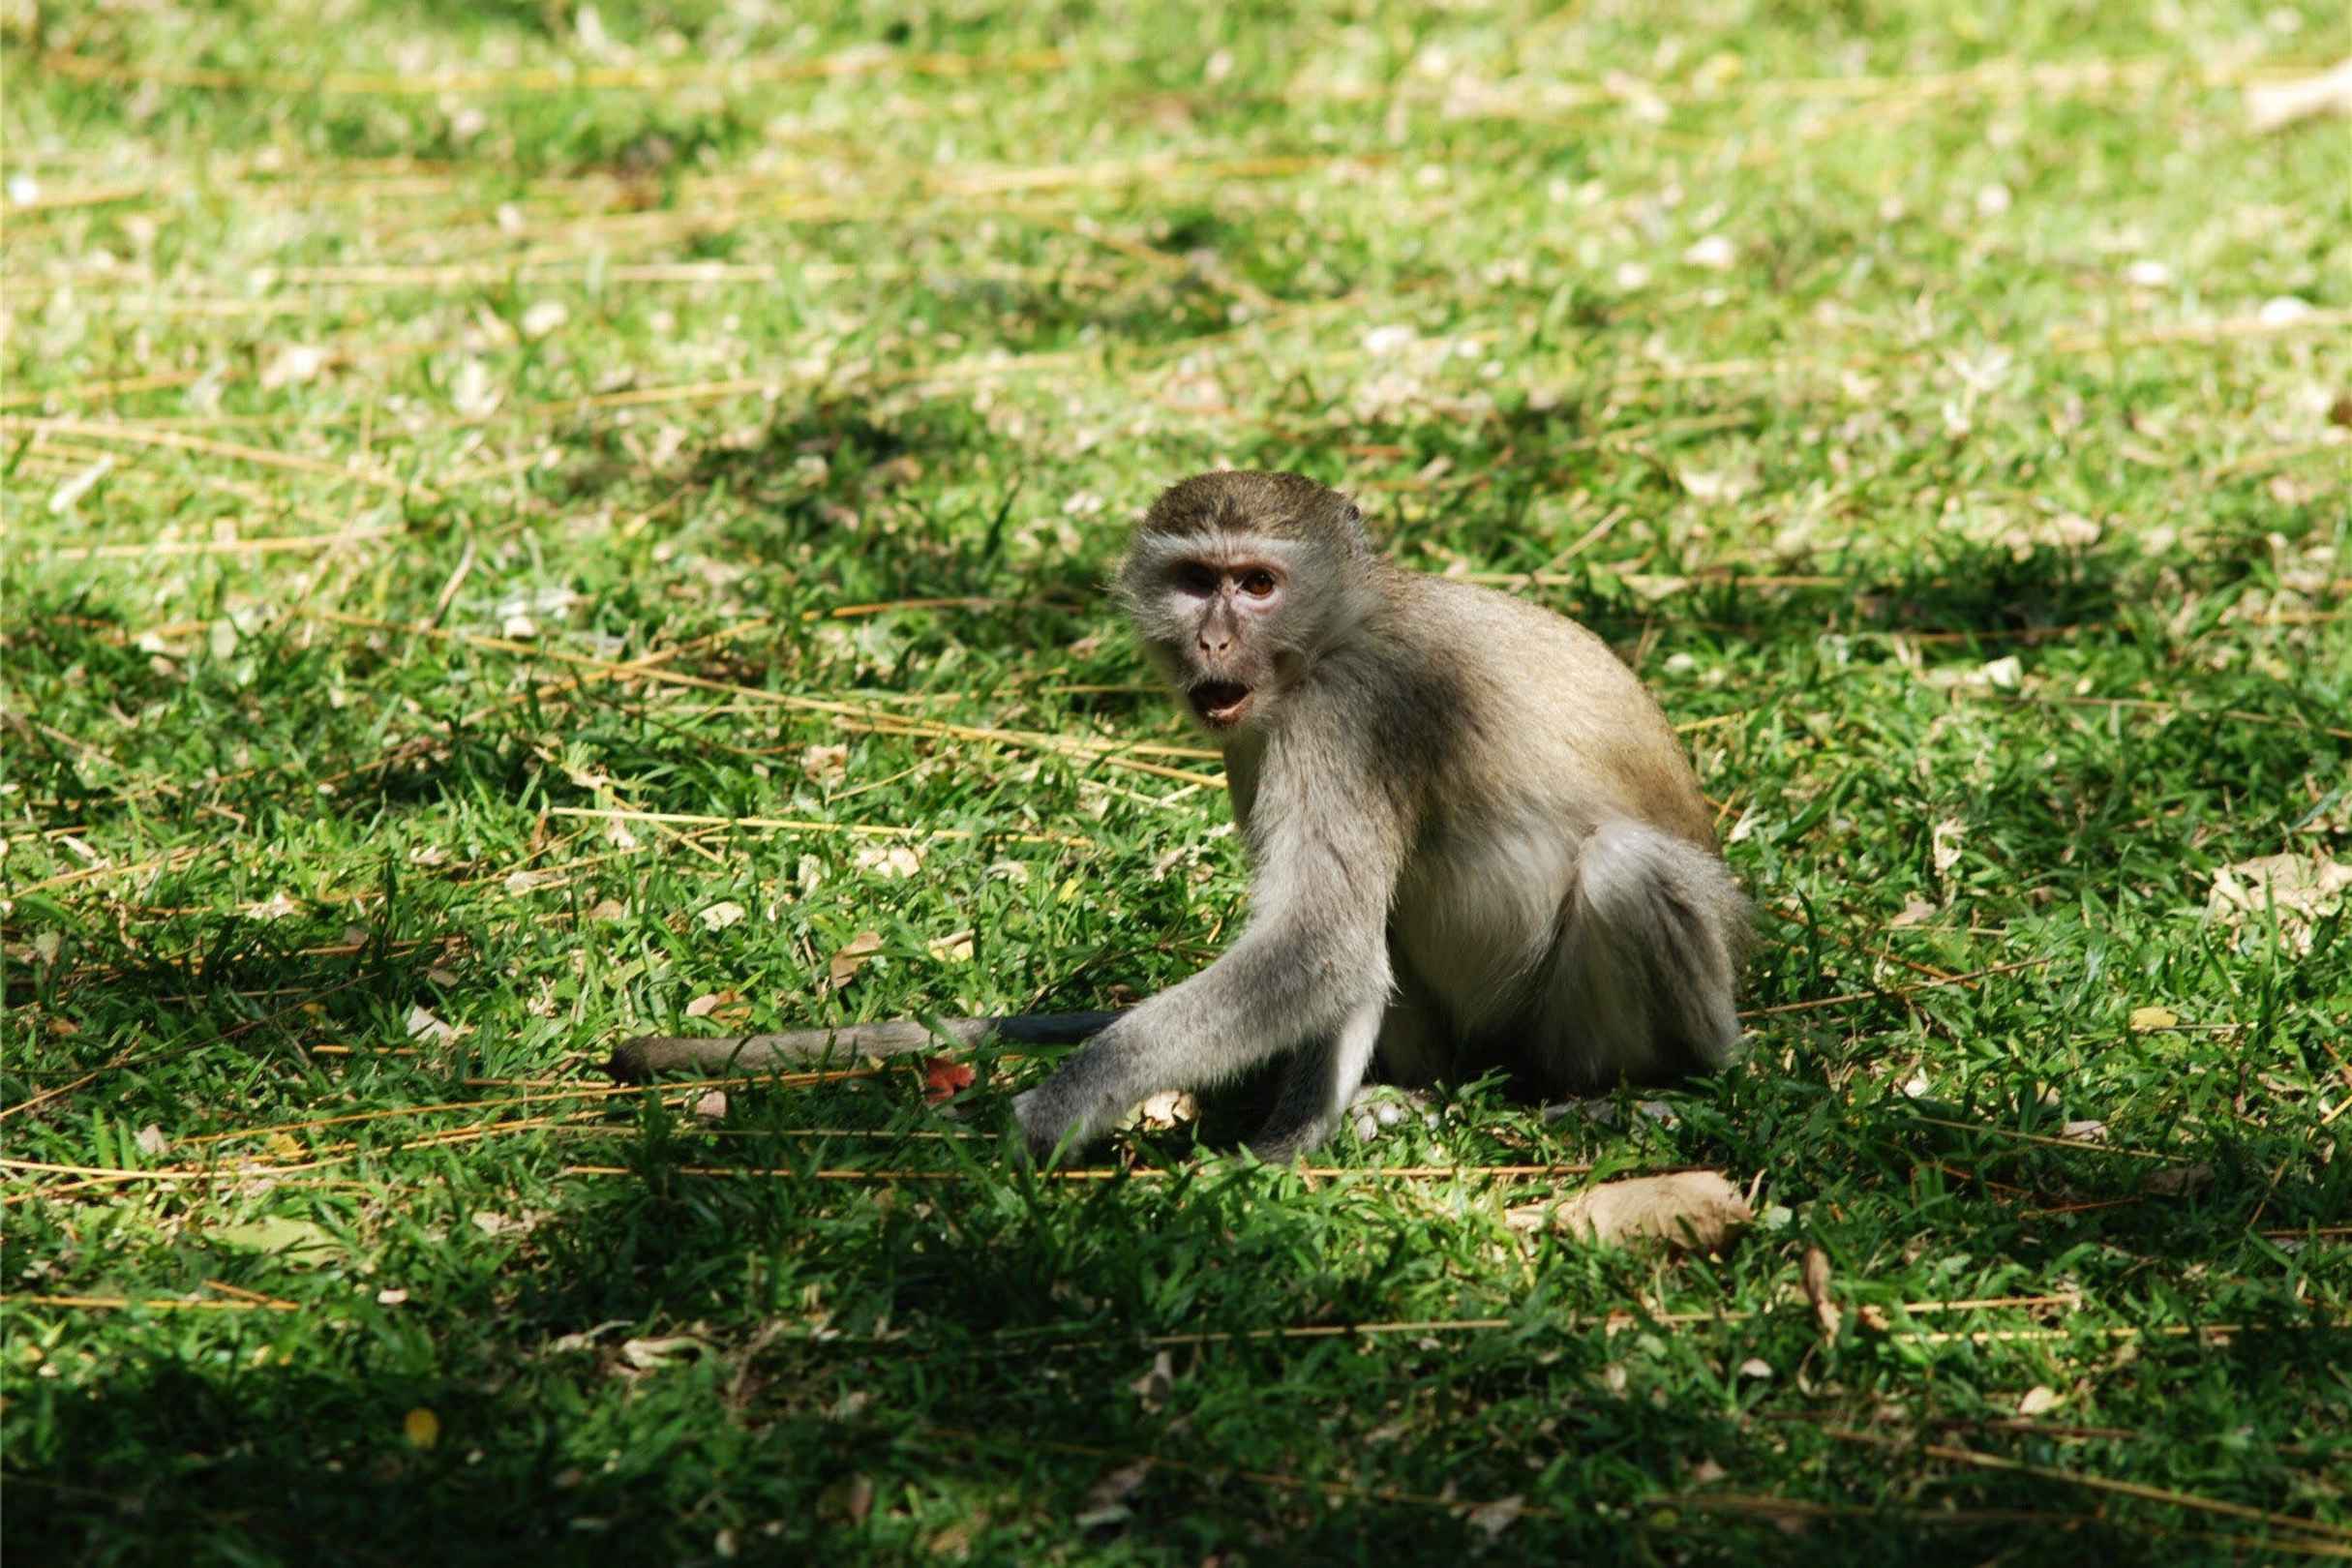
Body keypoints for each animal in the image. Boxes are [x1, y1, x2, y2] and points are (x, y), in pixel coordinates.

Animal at [610, 470, 1748, 1163]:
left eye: (1257, 583)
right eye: (1198, 581)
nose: (1211, 643)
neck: (1335, 633)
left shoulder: (1344, 721)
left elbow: (1318, 943)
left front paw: (1069, 1105)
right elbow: (1337, 952)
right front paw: (1294, 1140)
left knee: (1624, 869)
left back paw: (1624, 1089)